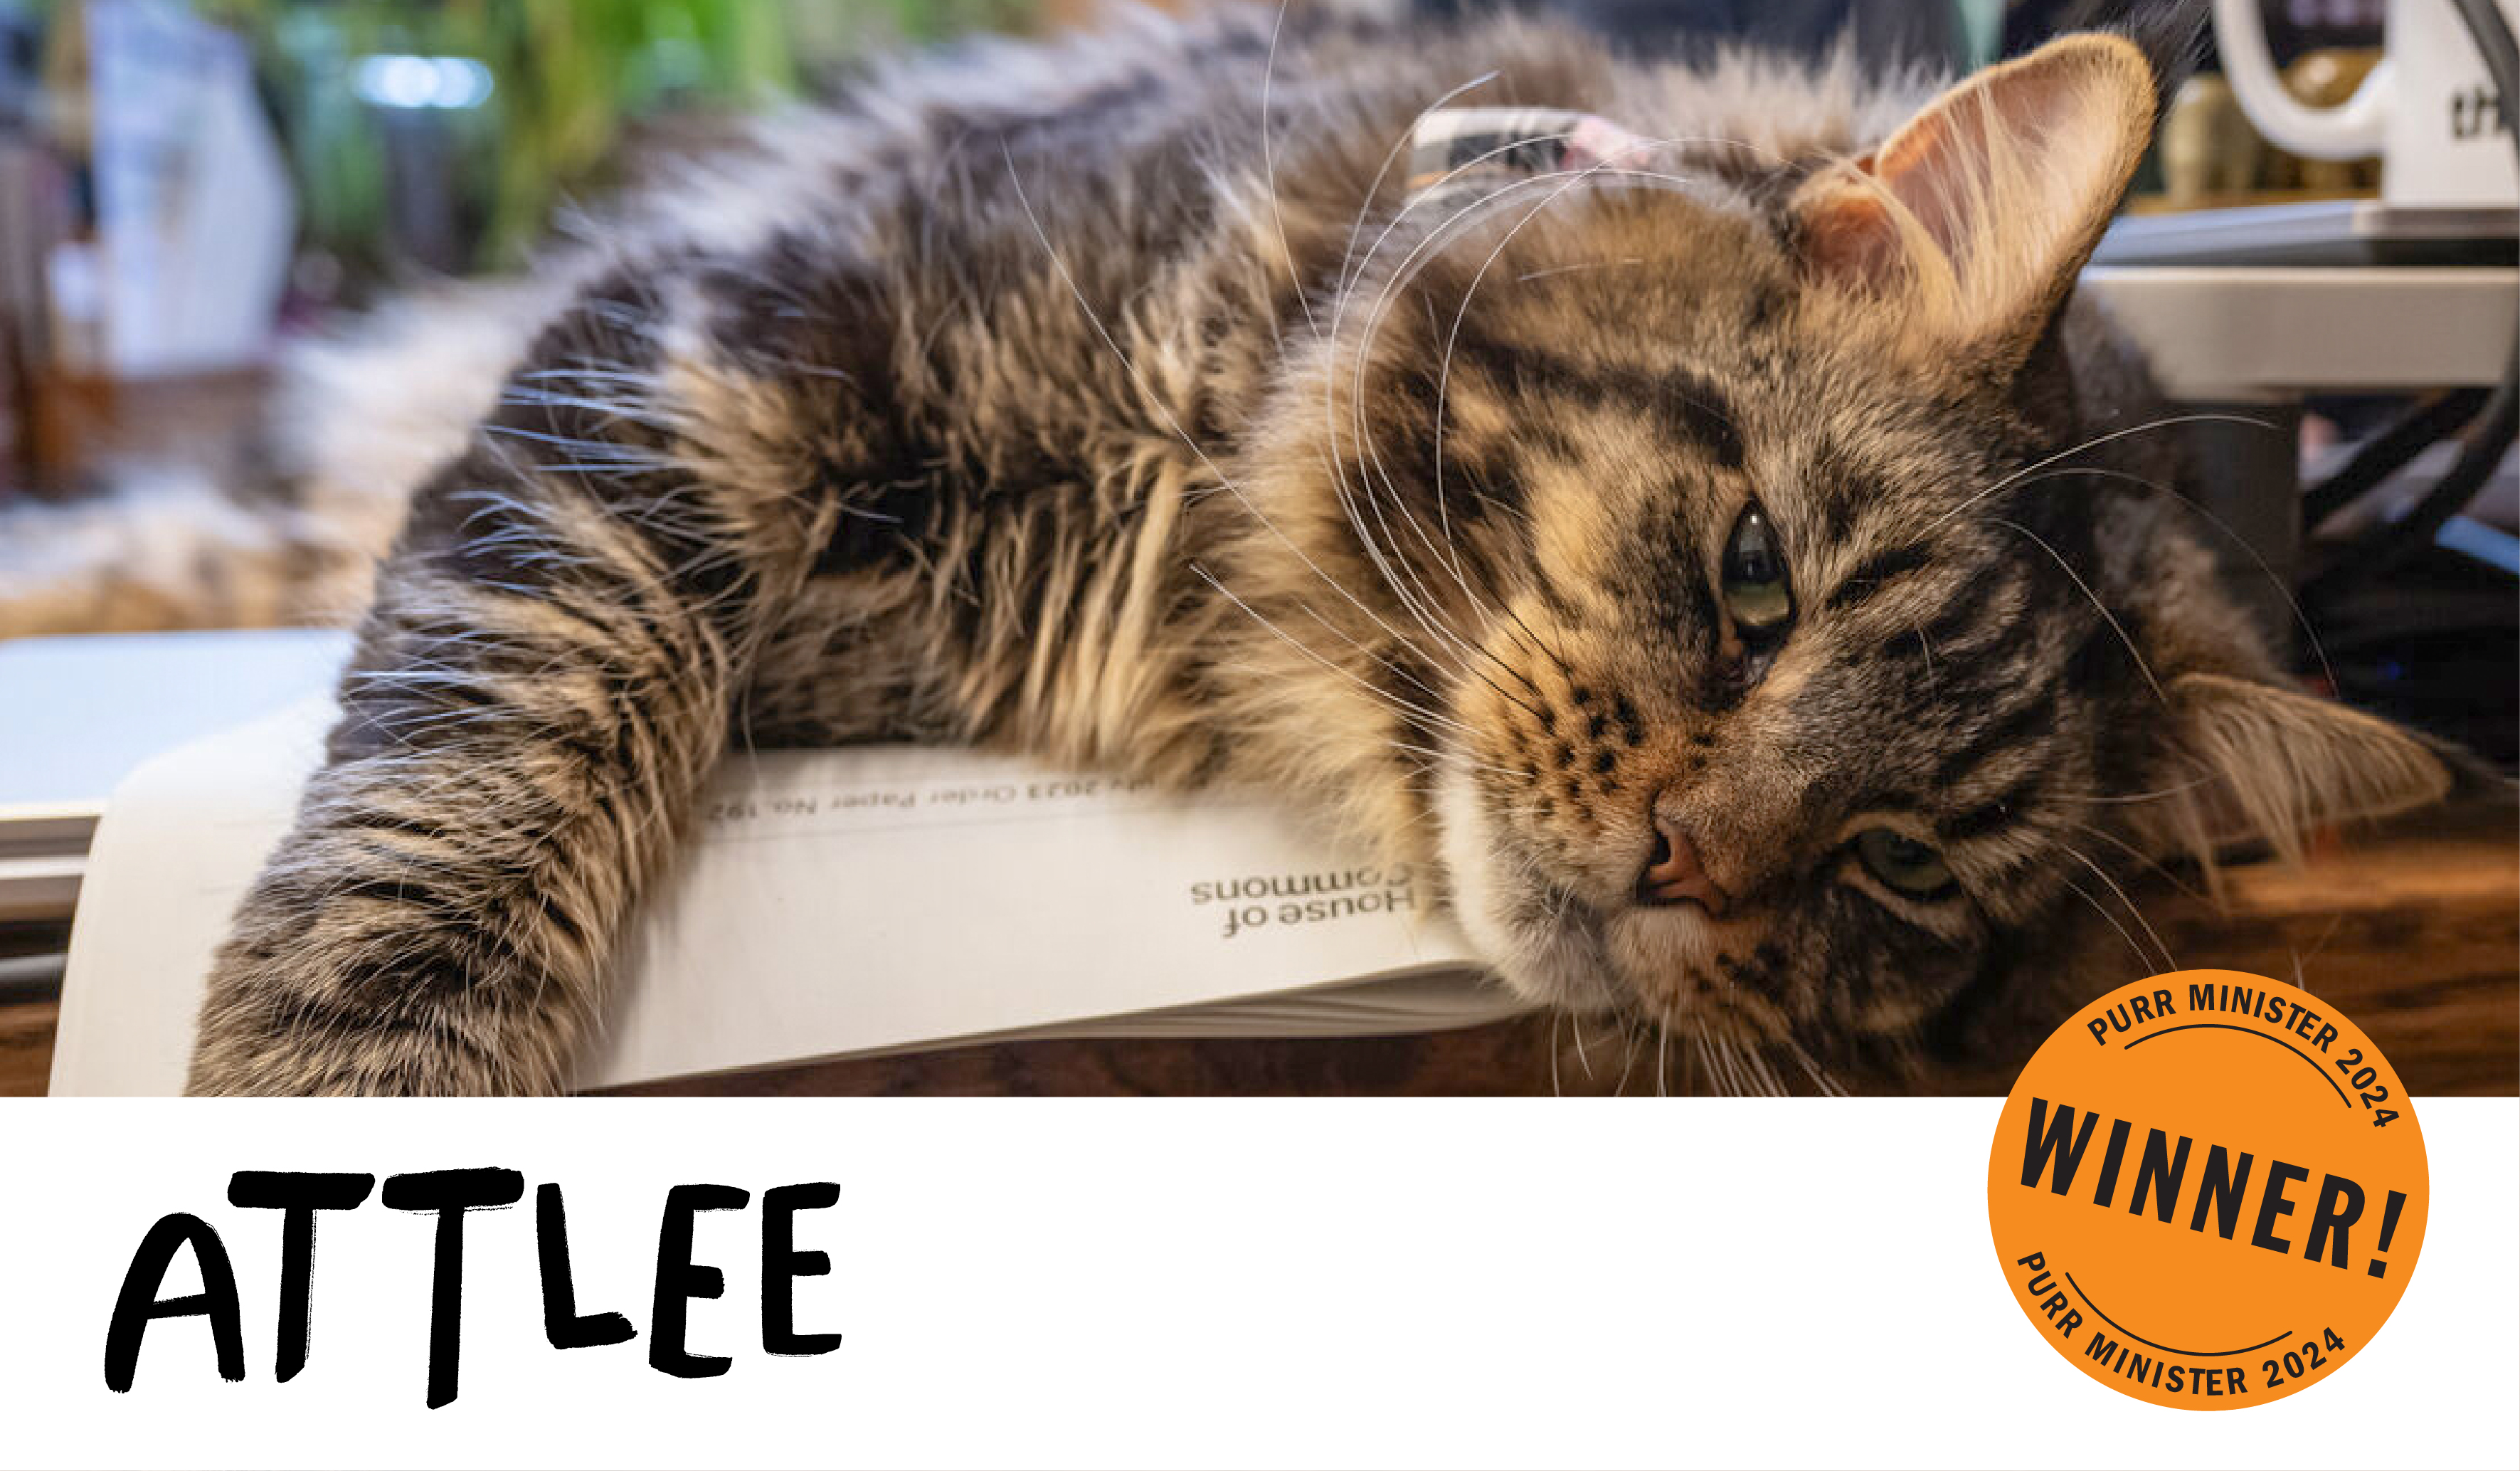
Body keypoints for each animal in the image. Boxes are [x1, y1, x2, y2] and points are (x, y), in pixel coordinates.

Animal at [152, 6, 2439, 1093]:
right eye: (1753, 583)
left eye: (1892, 866)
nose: (1674, 870)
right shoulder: (697, 357)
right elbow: (488, 756)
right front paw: (341, 1081)